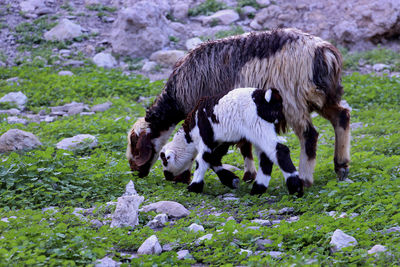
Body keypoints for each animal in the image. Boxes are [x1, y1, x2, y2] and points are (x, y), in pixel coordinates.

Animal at [128, 27, 350, 186]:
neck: (178, 97)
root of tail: (323, 52)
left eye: (135, 143)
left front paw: (232, 178)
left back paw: (305, 178)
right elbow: (245, 145)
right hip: (322, 97)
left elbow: (216, 154)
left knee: (309, 135)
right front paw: (249, 174)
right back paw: (341, 166)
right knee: (342, 117)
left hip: (292, 101)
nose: (135, 171)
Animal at [159, 88, 304, 197]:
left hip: (259, 127)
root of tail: (266, 98)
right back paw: (258, 189)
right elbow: (213, 159)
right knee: (266, 158)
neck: (189, 135)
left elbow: (202, 160)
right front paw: (231, 180)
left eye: (165, 161)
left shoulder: (206, 139)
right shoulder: (222, 141)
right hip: (260, 132)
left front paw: (194, 187)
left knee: (280, 151)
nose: (167, 176)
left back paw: (295, 189)